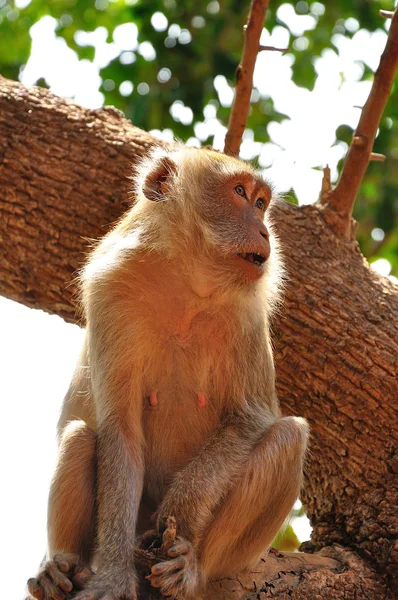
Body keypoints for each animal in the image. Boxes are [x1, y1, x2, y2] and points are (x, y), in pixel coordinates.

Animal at [27, 145, 308, 600]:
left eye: (262, 203)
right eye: (240, 193)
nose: (265, 232)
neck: (186, 283)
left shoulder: (248, 313)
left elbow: (250, 418)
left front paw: (181, 510)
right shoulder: (110, 288)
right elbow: (120, 432)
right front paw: (113, 576)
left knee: (289, 437)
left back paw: (191, 568)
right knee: (81, 437)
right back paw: (63, 569)